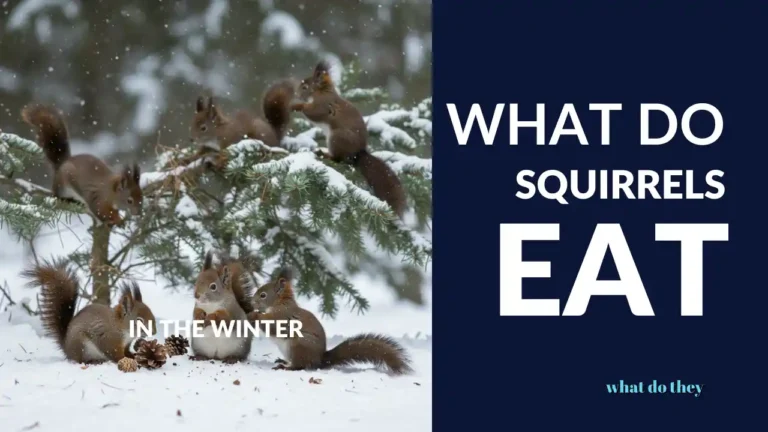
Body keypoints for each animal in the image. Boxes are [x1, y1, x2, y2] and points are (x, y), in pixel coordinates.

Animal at [22, 259, 157, 364]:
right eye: (139, 320)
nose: (154, 332)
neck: (122, 328)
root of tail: (66, 348)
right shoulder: (109, 338)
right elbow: (113, 352)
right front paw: (124, 359)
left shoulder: (126, 343)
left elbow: (127, 351)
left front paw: (135, 353)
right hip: (81, 345)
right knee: (79, 360)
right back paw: (93, 361)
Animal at [248, 267, 413, 375]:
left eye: (263, 295)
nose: (252, 302)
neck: (279, 303)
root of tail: (320, 359)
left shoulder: (282, 316)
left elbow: (271, 325)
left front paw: (254, 315)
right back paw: (282, 361)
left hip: (299, 345)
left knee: (301, 365)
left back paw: (286, 367)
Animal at [291, 61, 407, 218]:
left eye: (305, 87)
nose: (296, 94)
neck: (322, 92)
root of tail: (358, 153)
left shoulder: (323, 105)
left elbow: (314, 112)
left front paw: (297, 106)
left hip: (336, 138)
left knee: (338, 159)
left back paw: (323, 154)